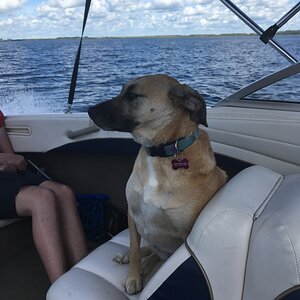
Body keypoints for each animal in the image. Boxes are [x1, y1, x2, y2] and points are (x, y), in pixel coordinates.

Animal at [88, 74, 226, 294]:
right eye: (122, 90)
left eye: (133, 95)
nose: (89, 110)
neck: (159, 154)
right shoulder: (132, 212)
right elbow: (134, 248)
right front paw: (133, 275)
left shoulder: (185, 238)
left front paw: (139, 272)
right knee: (146, 247)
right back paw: (129, 256)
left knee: (159, 254)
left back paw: (147, 263)